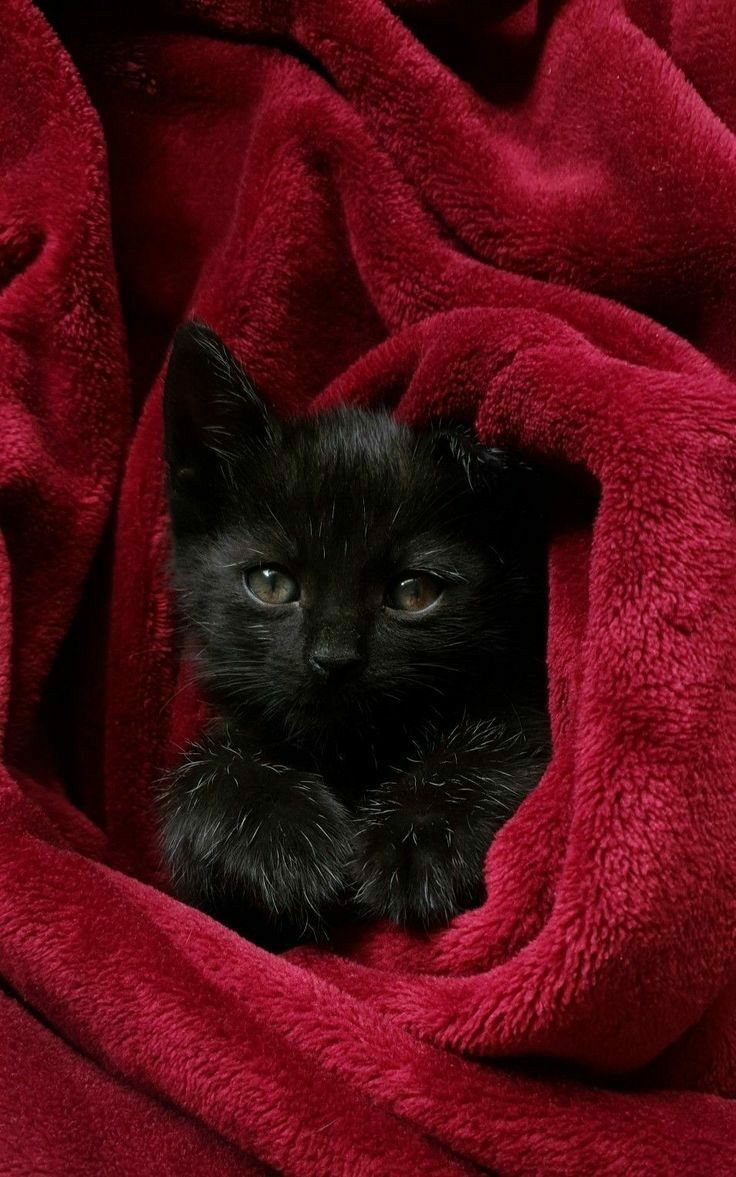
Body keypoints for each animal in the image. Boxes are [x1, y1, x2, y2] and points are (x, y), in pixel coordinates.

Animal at [162, 320, 551, 946]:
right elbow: (202, 777)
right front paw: (278, 837)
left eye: (413, 592)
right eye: (270, 582)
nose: (334, 657)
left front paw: (421, 836)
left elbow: (514, 740)